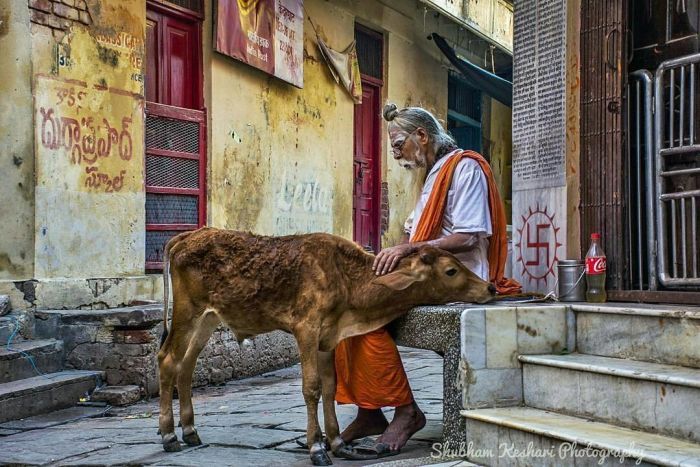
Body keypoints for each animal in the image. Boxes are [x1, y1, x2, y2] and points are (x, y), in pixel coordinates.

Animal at [157, 227, 498, 464]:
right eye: (451, 270)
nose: (490, 287)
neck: (347, 280)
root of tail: (186, 237)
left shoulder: (327, 339)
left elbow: (331, 386)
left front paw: (337, 443)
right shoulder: (306, 330)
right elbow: (311, 388)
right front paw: (317, 447)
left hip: (208, 318)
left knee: (186, 366)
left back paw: (190, 431)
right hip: (187, 311)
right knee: (167, 360)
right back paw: (169, 435)